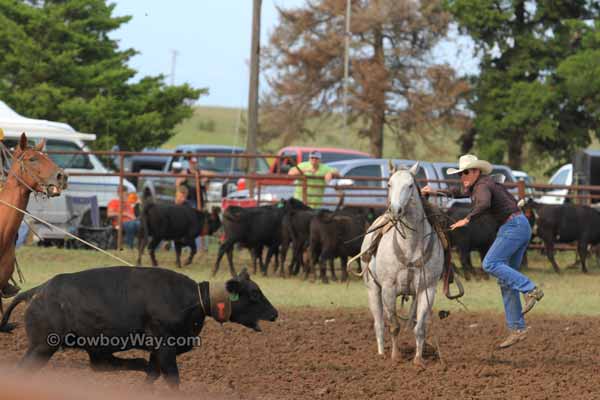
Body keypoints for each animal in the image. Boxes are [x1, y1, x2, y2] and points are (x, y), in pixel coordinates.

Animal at [0, 266, 276, 388]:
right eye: (254, 294)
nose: (275, 313)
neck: (193, 299)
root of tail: (36, 291)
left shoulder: (158, 351)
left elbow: (152, 374)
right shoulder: (165, 347)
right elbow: (171, 378)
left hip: (86, 347)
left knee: (103, 365)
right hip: (42, 347)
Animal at [360, 162, 446, 368]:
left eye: (410, 185)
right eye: (389, 184)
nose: (395, 210)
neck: (411, 246)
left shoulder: (427, 289)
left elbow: (420, 327)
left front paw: (418, 360)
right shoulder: (388, 288)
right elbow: (394, 326)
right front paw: (395, 357)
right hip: (373, 289)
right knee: (379, 323)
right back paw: (381, 353)